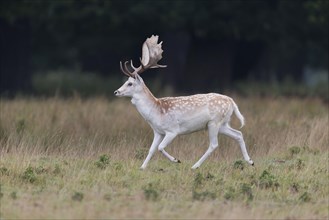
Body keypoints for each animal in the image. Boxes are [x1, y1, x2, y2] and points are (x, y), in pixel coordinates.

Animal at [113, 34, 254, 170]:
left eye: (130, 83)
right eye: (125, 81)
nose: (116, 92)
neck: (156, 111)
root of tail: (232, 101)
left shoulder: (173, 130)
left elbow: (160, 148)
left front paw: (176, 160)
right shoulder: (158, 132)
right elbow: (151, 149)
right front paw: (142, 167)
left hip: (214, 122)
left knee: (214, 144)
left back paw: (195, 166)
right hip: (223, 123)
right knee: (238, 134)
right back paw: (250, 161)